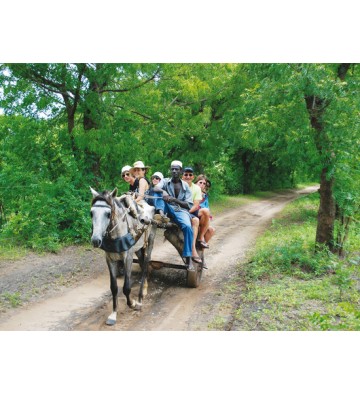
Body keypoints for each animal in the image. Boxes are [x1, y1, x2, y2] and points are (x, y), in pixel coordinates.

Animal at [89, 187, 155, 326]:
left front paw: (133, 303)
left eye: (108, 214)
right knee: (142, 263)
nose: (96, 240)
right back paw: (144, 288)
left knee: (145, 265)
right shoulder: (110, 259)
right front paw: (113, 314)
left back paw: (142, 293)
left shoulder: (127, 258)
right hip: (138, 248)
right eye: (91, 213)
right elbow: (114, 288)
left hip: (149, 241)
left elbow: (126, 288)